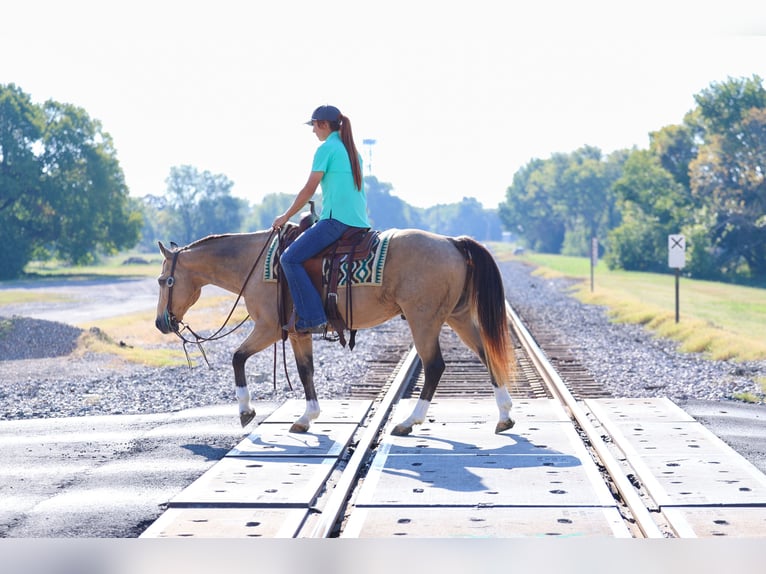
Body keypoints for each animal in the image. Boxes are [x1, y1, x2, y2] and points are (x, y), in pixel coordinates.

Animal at [154, 227, 516, 436]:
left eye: (162, 280)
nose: (161, 323)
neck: (255, 265)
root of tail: (453, 243)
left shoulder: (269, 328)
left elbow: (238, 357)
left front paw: (246, 410)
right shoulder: (298, 333)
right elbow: (306, 371)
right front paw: (307, 417)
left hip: (423, 320)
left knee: (435, 366)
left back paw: (409, 421)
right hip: (457, 317)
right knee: (487, 355)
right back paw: (504, 415)